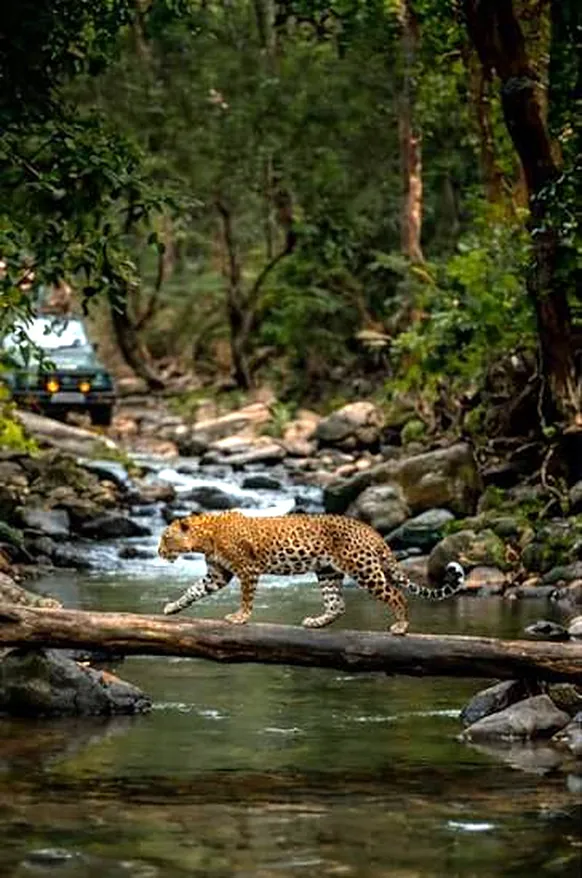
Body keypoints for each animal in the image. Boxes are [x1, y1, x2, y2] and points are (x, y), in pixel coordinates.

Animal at [158, 511, 465, 635]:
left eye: (165, 537)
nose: (159, 552)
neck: (205, 537)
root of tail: (372, 530)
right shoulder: (218, 574)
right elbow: (193, 590)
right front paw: (173, 607)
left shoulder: (247, 569)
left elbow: (246, 597)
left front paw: (240, 617)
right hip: (328, 572)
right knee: (337, 604)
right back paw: (316, 623)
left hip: (363, 568)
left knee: (396, 595)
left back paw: (400, 627)